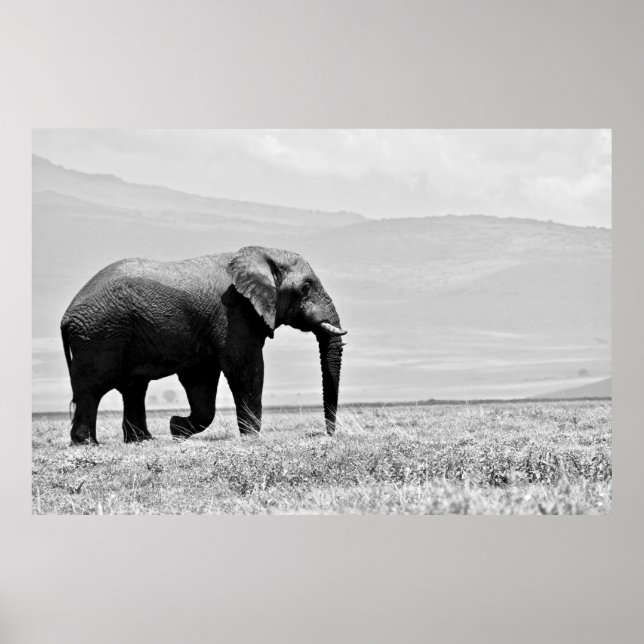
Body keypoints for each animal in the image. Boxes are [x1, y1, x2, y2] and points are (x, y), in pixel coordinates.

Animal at [60, 246, 346, 445]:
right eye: (306, 287)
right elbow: (244, 368)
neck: (262, 254)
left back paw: (142, 440)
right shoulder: (233, 313)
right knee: (92, 388)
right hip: (99, 335)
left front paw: (176, 428)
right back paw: (87, 444)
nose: (329, 435)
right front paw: (252, 438)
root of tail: (67, 316)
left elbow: (201, 380)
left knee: (134, 388)